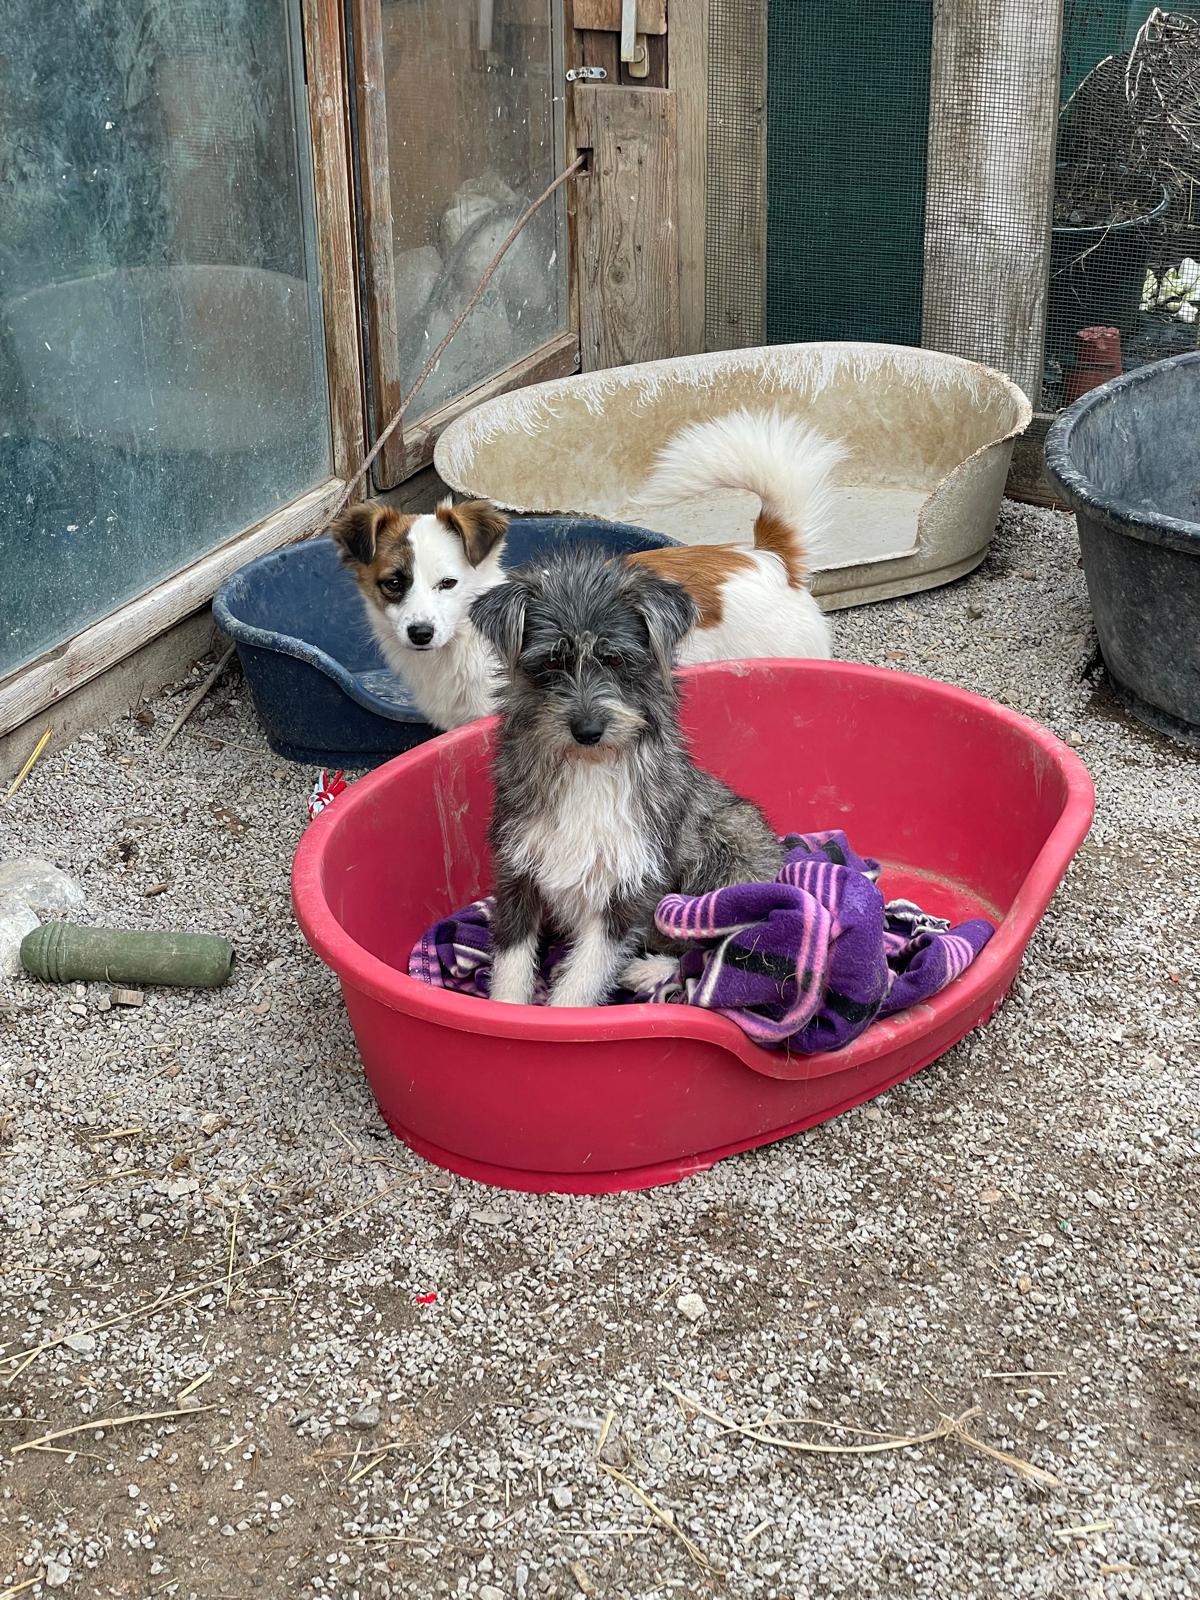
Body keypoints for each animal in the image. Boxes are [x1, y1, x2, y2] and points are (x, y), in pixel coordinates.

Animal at [470, 547, 784, 1009]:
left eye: (615, 659)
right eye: (552, 661)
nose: (587, 730)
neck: (589, 768)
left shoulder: (629, 887)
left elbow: (583, 978)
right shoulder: (517, 871)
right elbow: (511, 962)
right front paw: (506, 1012)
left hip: (730, 859)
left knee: (713, 954)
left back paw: (649, 969)